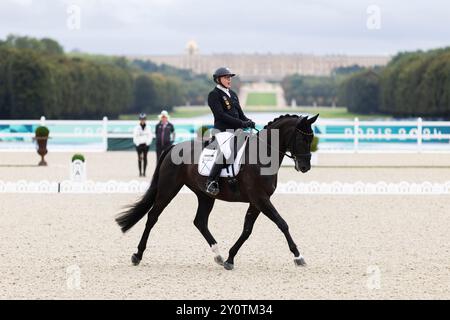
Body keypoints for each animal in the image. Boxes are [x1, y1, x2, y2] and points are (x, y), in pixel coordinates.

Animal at [116, 114, 320, 268]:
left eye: (311, 138)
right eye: (302, 138)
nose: (305, 167)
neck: (262, 155)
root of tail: (174, 146)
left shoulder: (257, 202)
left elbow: (247, 230)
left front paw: (230, 258)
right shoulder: (260, 199)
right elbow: (282, 223)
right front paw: (298, 256)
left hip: (205, 196)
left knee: (200, 222)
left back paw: (218, 255)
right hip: (168, 189)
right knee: (152, 217)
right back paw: (137, 255)